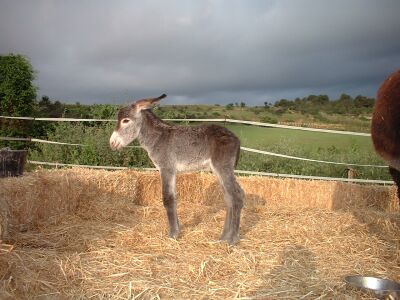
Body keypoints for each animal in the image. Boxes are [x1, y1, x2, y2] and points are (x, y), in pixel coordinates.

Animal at [109, 94, 244, 244]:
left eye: (125, 120)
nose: (112, 143)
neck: (157, 138)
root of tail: (236, 138)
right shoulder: (171, 171)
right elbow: (173, 198)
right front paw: (177, 230)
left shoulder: (166, 169)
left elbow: (168, 198)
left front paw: (173, 234)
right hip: (219, 170)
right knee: (229, 198)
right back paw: (224, 237)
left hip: (223, 168)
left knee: (237, 196)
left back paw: (232, 239)